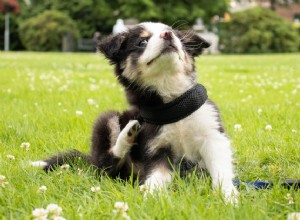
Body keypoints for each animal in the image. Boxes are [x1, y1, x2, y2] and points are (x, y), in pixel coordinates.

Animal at [32, 22, 238, 203]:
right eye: (142, 42)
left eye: (176, 35)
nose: (168, 35)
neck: (173, 104)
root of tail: (90, 159)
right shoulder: (156, 149)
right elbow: (156, 177)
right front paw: (150, 196)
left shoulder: (212, 137)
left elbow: (221, 171)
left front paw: (228, 197)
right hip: (106, 120)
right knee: (107, 165)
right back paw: (128, 135)